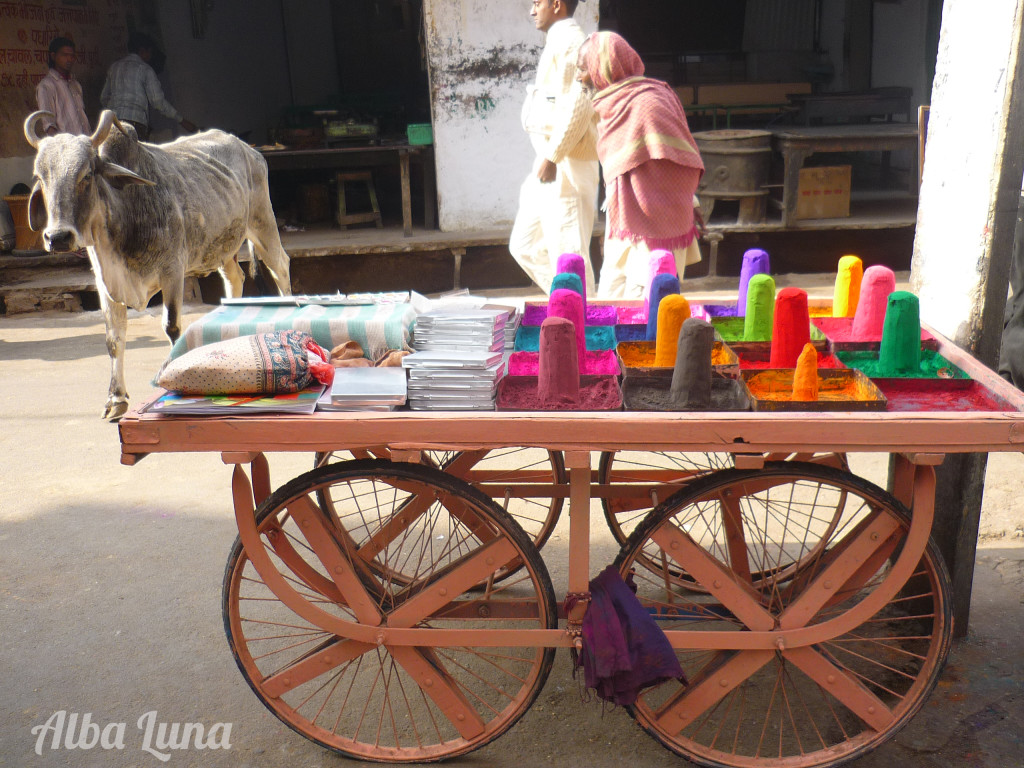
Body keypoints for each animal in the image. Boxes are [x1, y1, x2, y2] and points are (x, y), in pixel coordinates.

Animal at [25, 109, 290, 421]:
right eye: (40, 177)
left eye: (87, 174)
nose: (57, 237)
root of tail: (248, 149)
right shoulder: (105, 284)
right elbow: (114, 339)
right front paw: (115, 399)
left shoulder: (172, 273)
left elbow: (172, 327)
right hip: (225, 246)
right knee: (235, 277)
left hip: (262, 225)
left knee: (281, 267)